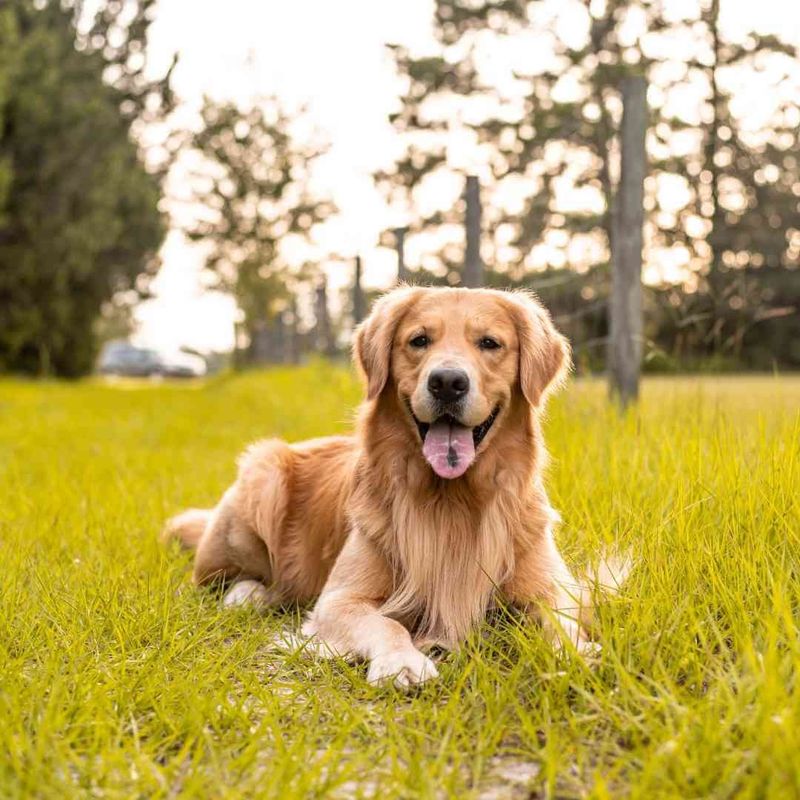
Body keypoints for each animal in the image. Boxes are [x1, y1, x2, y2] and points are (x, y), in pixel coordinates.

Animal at [166, 286, 596, 688]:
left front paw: (575, 654)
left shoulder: (553, 590)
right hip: (263, 474)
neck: (452, 501)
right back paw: (249, 595)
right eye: (419, 340)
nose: (447, 382)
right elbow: (387, 624)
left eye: (489, 343)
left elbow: (562, 622)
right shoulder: (339, 600)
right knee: (223, 580)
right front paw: (402, 662)